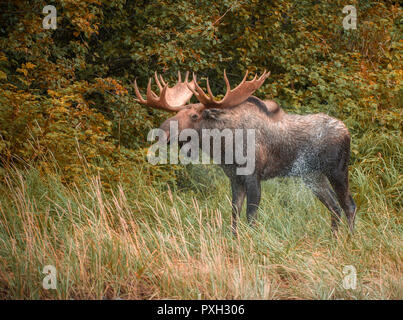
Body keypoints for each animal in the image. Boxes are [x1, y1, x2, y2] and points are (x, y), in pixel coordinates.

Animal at [135, 70, 356, 235]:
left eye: (194, 115)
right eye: (178, 112)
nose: (162, 131)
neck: (224, 148)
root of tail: (347, 131)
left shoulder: (253, 175)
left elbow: (251, 216)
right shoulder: (234, 177)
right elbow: (234, 212)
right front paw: (235, 239)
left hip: (337, 170)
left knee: (348, 205)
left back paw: (349, 240)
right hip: (313, 176)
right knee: (334, 207)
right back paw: (334, 238)